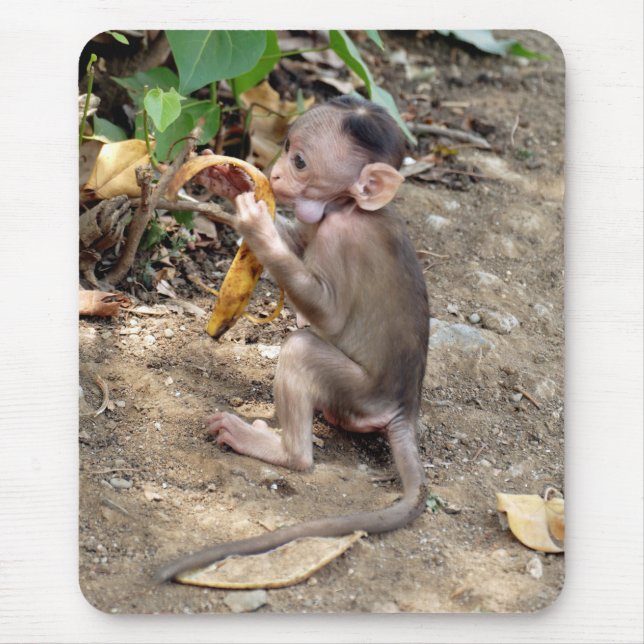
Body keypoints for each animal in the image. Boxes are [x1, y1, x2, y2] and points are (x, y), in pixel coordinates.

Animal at [157, 96, 430, 582]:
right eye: (285, 148)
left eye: (300, 161)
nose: (277, 173)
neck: (348, 207)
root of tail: (403, 408)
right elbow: (298, 243)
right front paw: (228, 179)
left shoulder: (342, 237)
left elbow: (328, 313)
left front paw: (257, 226)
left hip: (361, 394)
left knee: (302, 349)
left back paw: (281, 450)